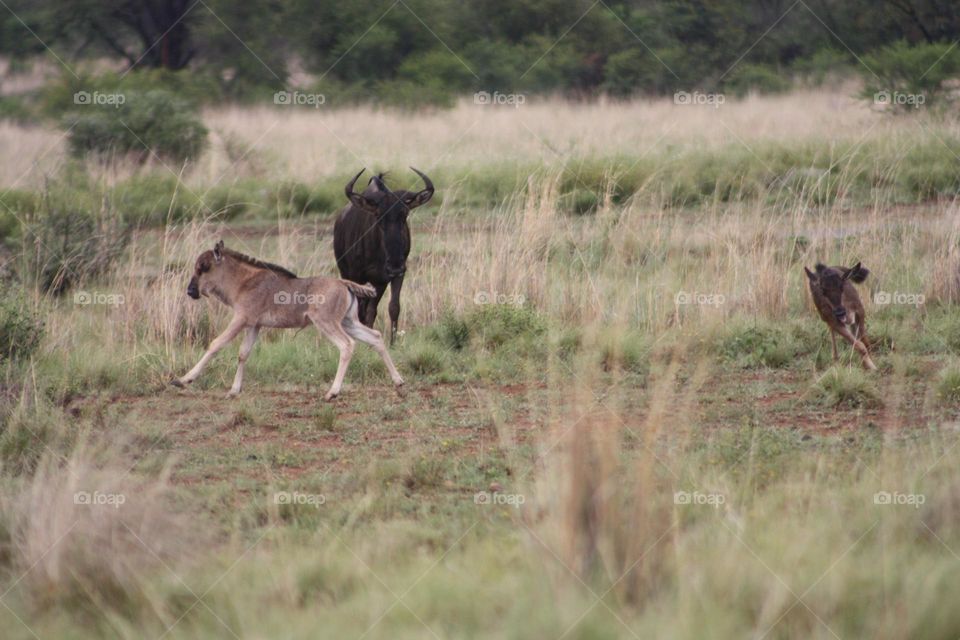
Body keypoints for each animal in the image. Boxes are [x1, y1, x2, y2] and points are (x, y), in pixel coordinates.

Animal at [171, 240, 404, 400]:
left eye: (204, 267)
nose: (190, 291)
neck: (244, 281)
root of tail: (343, 283)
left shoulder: (241, 319)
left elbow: (215, 344)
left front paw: (183, 379)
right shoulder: (254, 325)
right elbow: (243, 354)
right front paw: (234, 390)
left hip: (327, 323)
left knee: (347, 345)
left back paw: (332, 392)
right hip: (349, 322)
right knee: (375, 337)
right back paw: (398, 381)